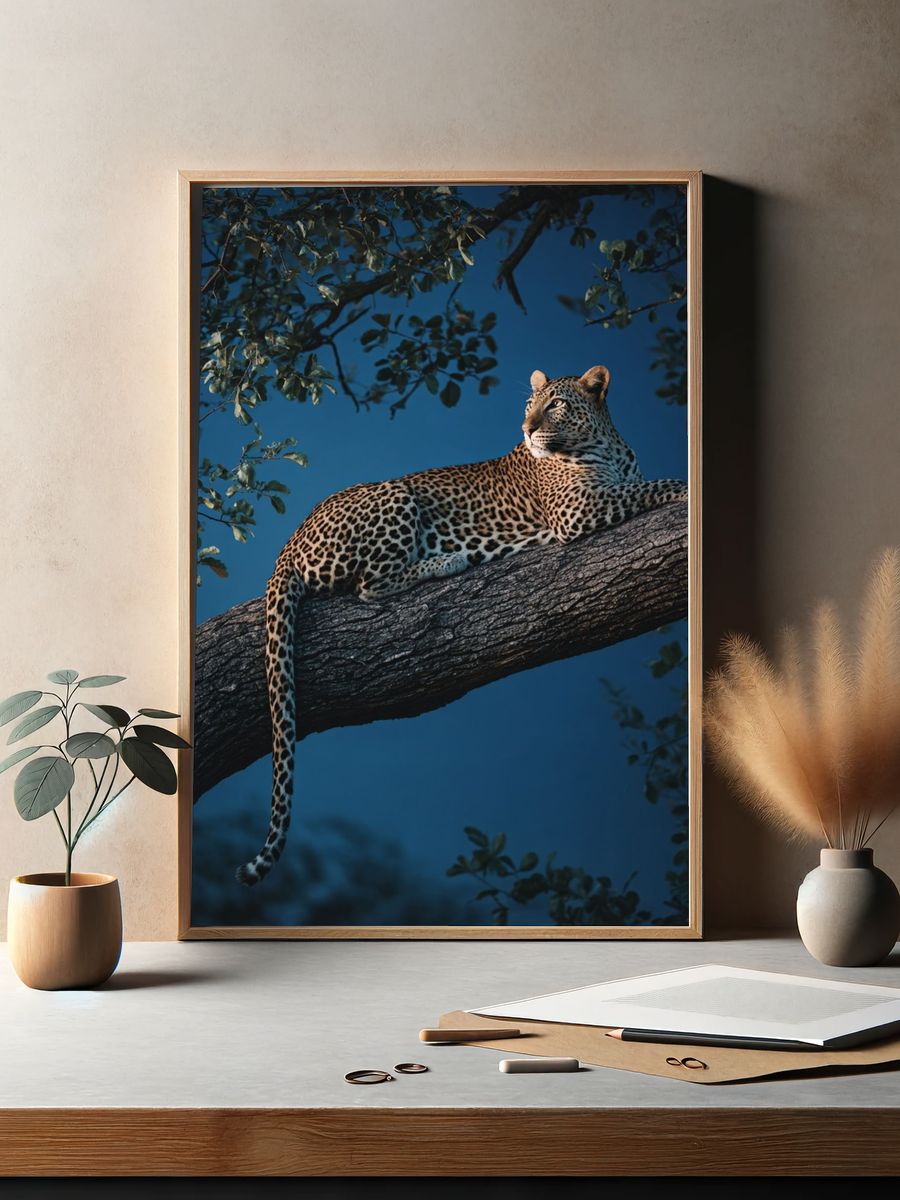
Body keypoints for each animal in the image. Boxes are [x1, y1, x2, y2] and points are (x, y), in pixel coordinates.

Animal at [235, 364, 687, 885]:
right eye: (529, 406)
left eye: (555, 405)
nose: (527, 429)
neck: (605, 444)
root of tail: (288, 546)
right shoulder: (578, 511)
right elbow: (649, 488)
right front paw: (685, 488)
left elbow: (641, 484)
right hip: (395, 495)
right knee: (369, 585)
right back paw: (449, 561)